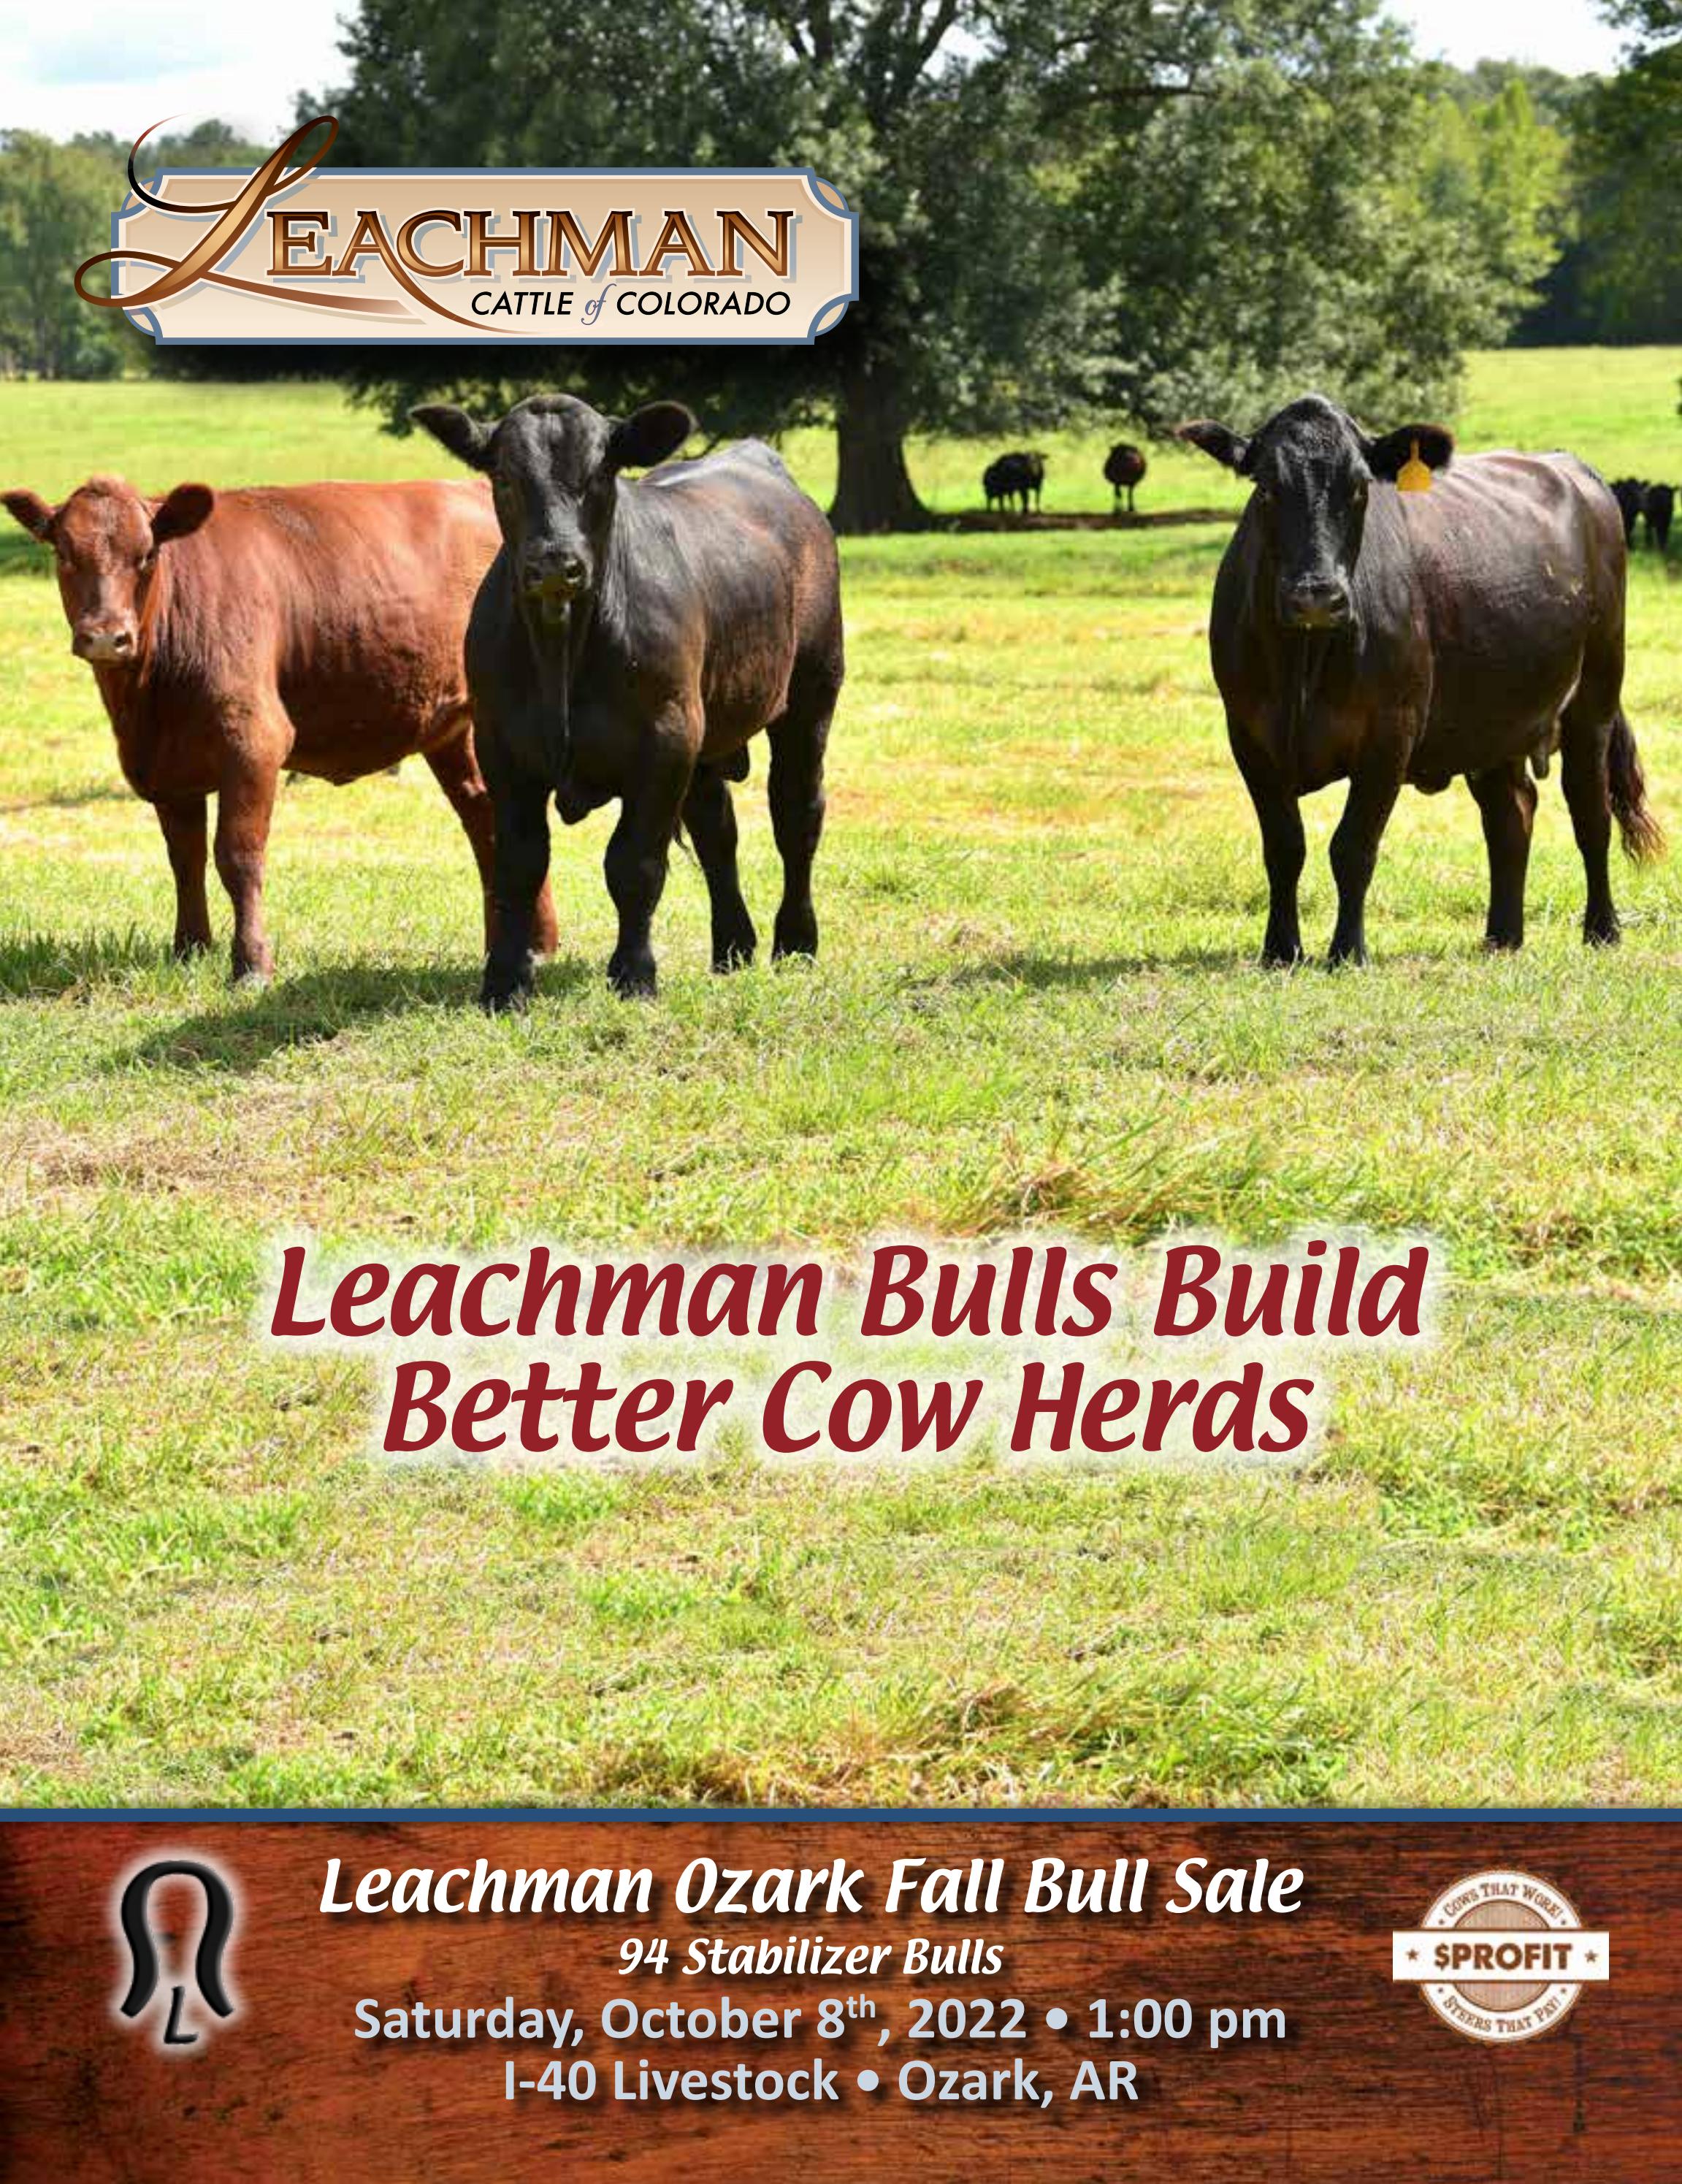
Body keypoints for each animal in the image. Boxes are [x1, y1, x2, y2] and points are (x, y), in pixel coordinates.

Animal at [1, 474, 553, 982]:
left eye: (146, 554)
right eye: (64, 554)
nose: (106, 636)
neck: (148, 701)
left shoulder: (253, 743)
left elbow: (237, 855)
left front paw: (251, 964)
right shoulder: (168, 769)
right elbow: (185, 859)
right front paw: (190, 950)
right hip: (455, 730)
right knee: (488, 820)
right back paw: (529, 945)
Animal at [410, 393, 844, 1007]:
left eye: (600, 473)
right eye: (504, 477)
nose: (555, 564)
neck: (562, 650)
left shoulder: (663, 743)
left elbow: (634, 864)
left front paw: (635, 974)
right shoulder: (501, 747)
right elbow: (519, 865)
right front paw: (504, 982)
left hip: (810, 696)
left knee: (796, 814)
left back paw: (795, 943)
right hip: (707, 729)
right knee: (717, 829)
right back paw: (732, 946)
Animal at [1178, 393, 1662, 964]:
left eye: (1360, 487)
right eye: (1266, 488)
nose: (1317, 595)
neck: (1304, 661)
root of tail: (1570, 467)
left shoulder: (1390, 731)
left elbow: (1353, 847)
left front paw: (1347, 952)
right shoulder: (1250, 736)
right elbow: (1283, 846)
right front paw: (1280, 950)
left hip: (1595, 698)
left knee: (1590, 812)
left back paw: (1602, 929)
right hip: (1491, 720)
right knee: (1511, 814)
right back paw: (1502, 935)